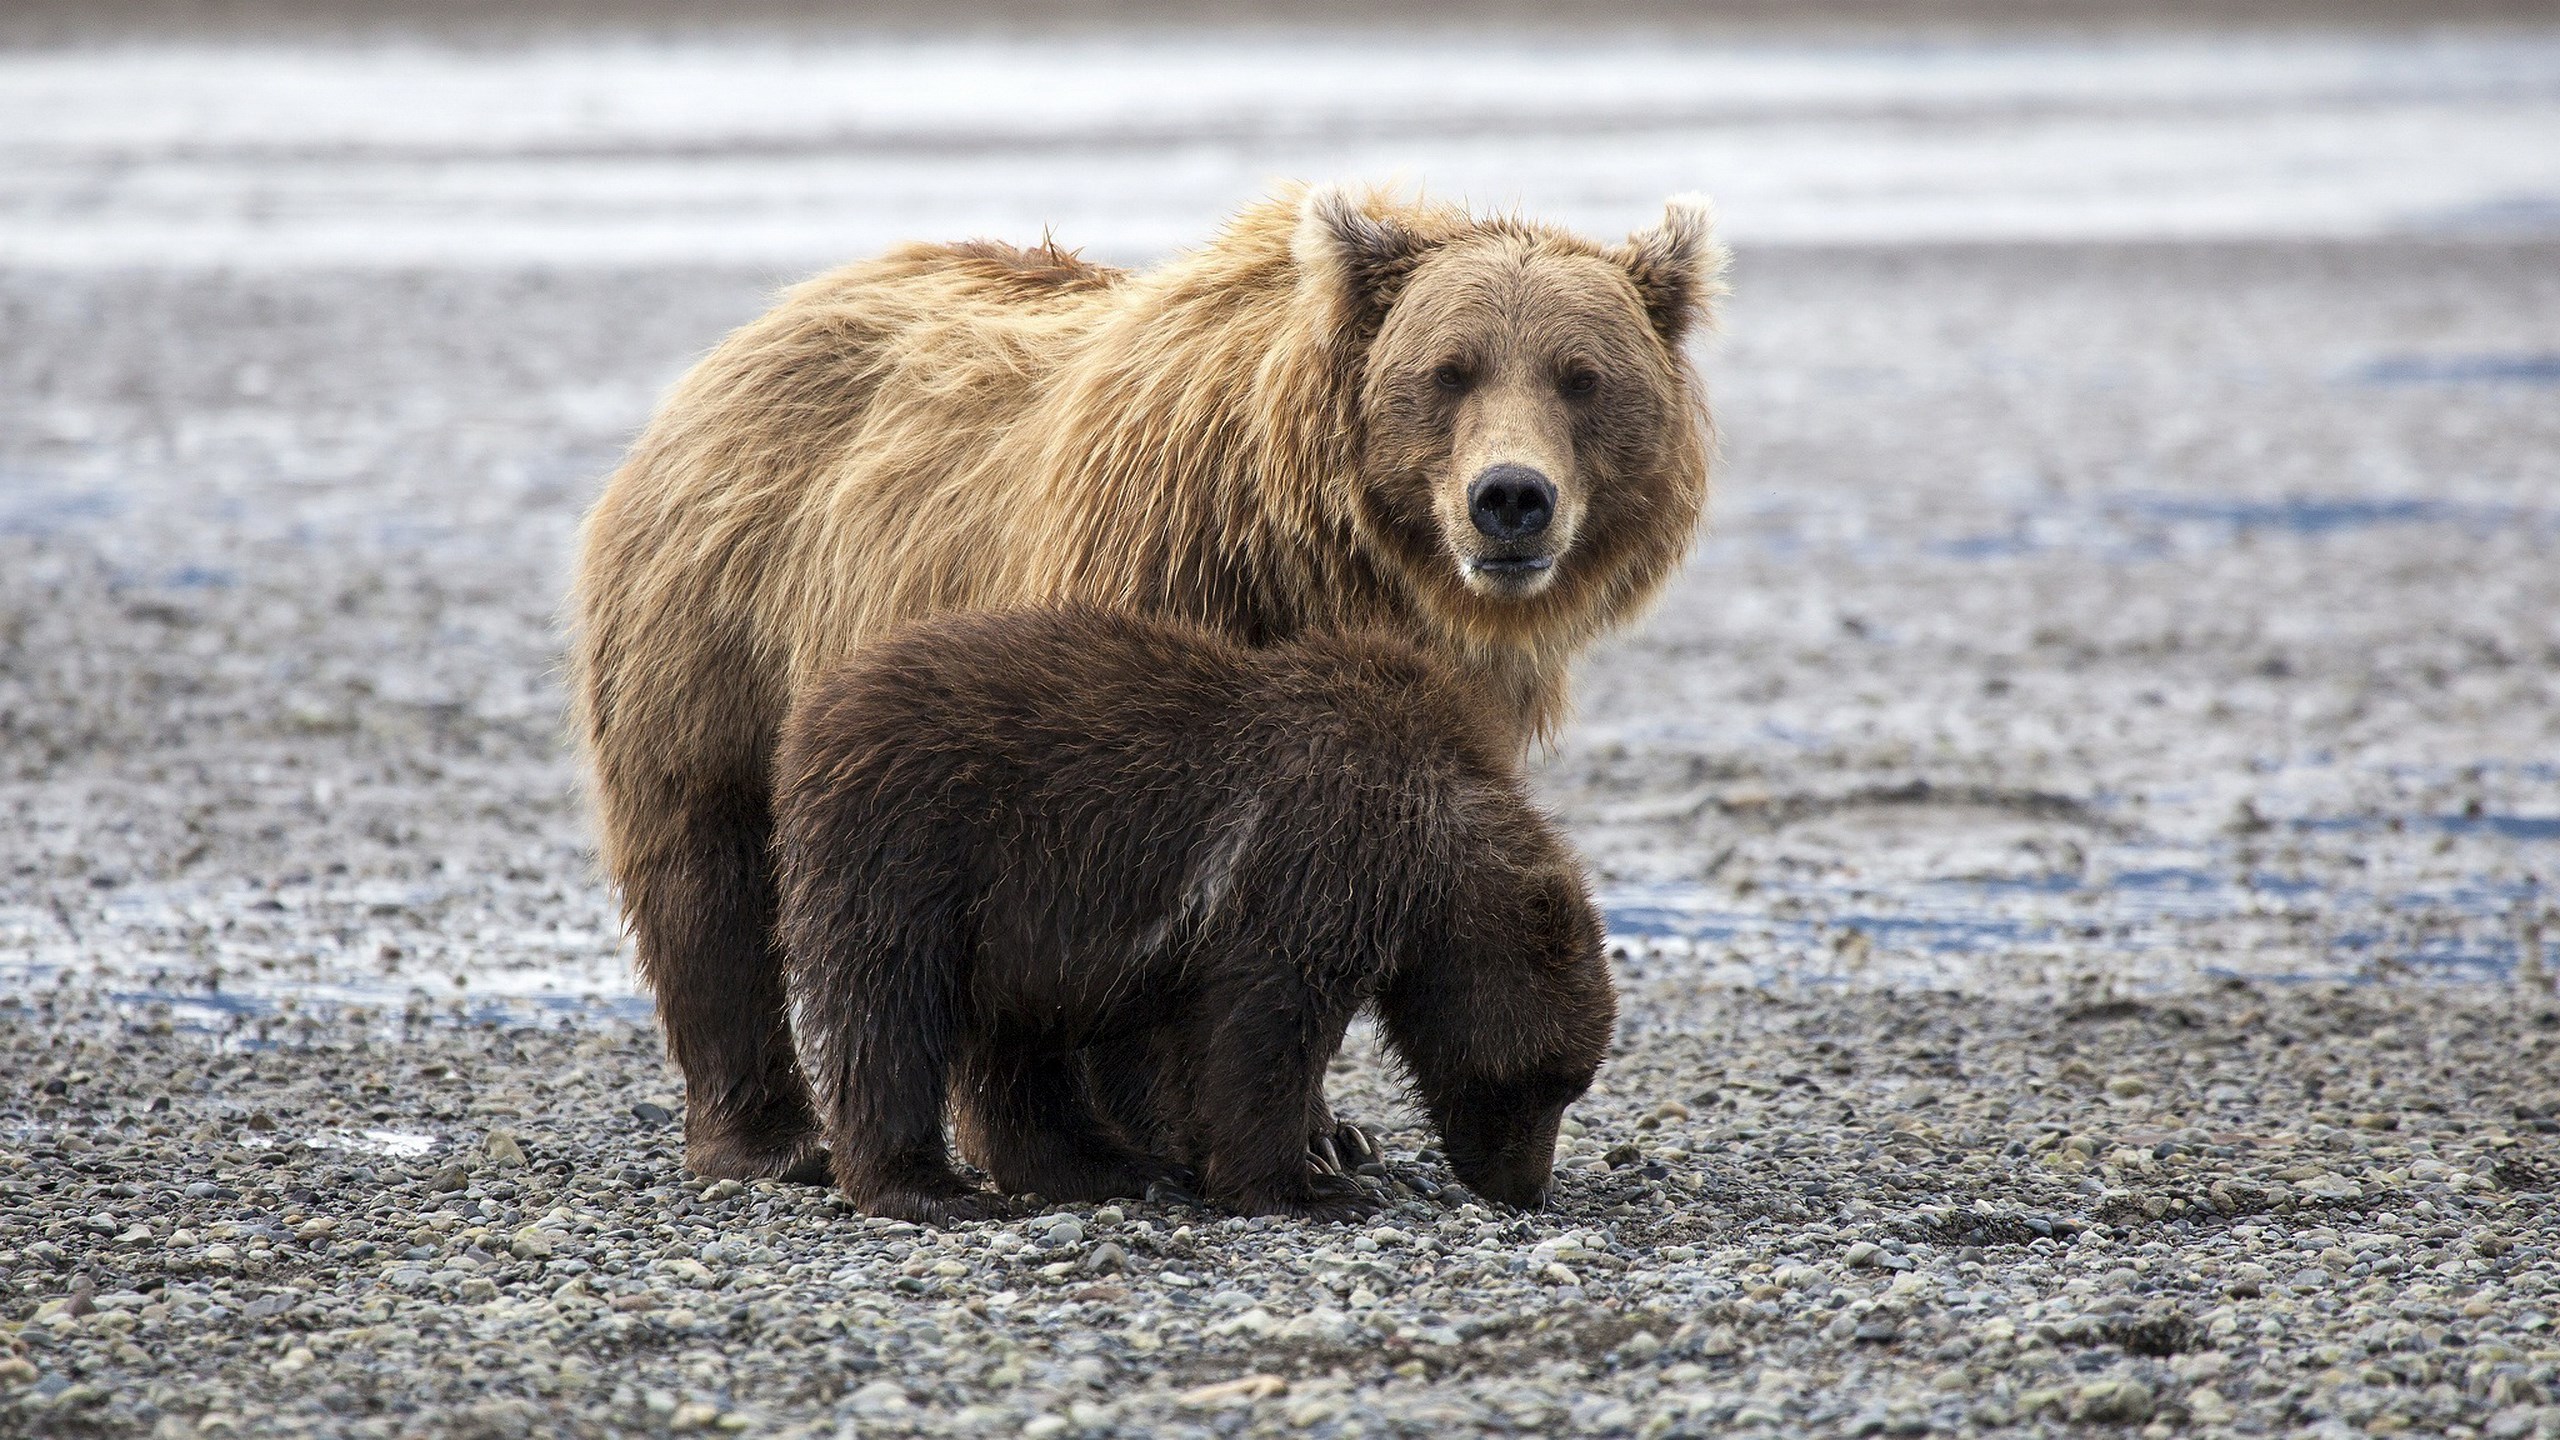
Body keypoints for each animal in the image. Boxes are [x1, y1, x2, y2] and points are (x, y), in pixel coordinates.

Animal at [769, 606, 1618, 1224]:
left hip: (1009, 925)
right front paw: (1315, 1184)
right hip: (919, 844)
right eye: (1544, 1081)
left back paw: (1113, 1167)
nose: (1528, 1188)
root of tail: (821, 704)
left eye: (1570, 1083)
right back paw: (928, 1187)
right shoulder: (1313, 857)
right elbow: (1260, 1031)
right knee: (889, 1011)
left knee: (1017, 1051)